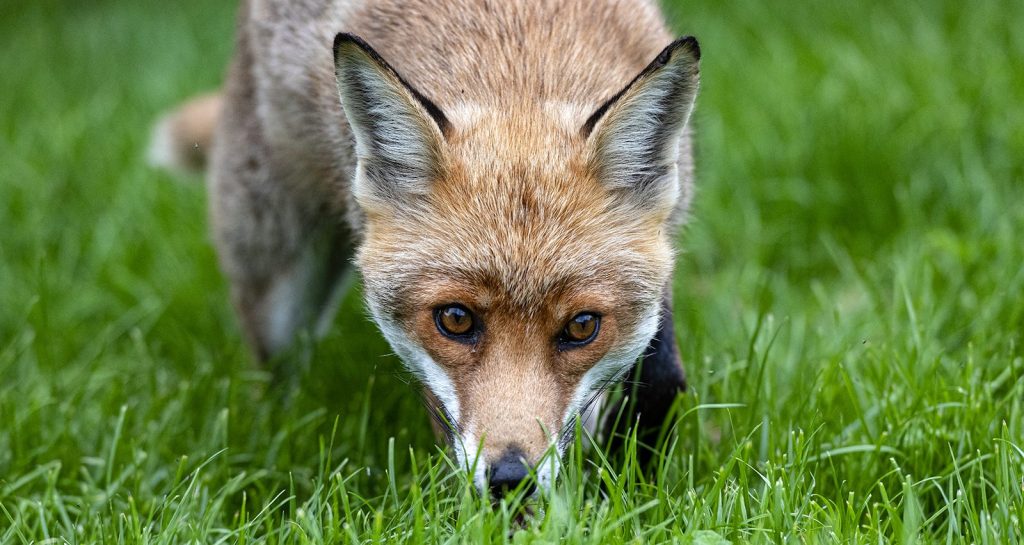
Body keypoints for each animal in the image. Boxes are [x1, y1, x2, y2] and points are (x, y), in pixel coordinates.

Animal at [150, 0, 699, 497]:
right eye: (454, 320)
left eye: (582, 326)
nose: (510, 479)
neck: (516, 52)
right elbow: (449, 426)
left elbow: (661, 380)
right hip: (277, 283)